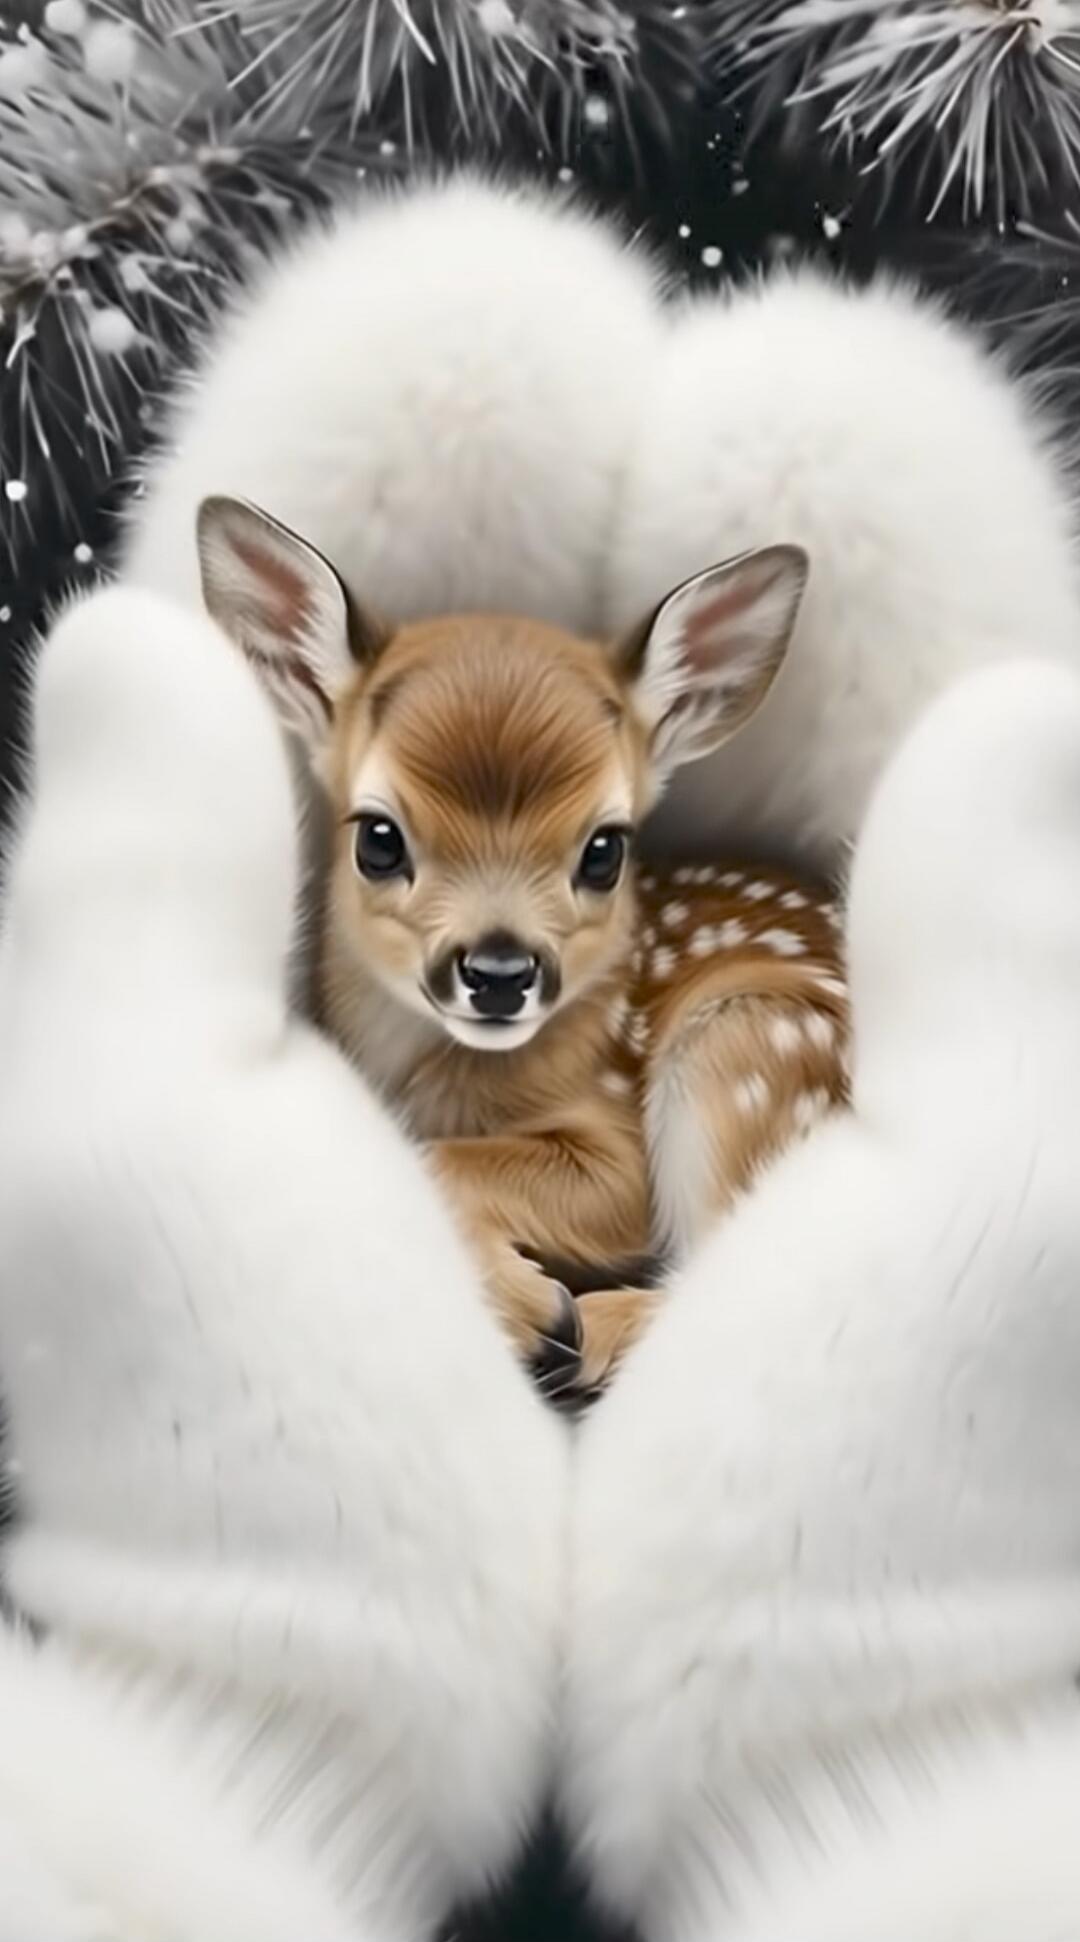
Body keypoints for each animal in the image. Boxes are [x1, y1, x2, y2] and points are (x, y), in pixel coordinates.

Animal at [195, 496, 849, 1393]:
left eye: (605, 850)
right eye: (379, 839)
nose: (500, 973)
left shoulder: (620, 1153)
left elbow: (436, 1156)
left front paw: (537, 1311)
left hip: (748, 1048)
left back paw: (596, 1331)